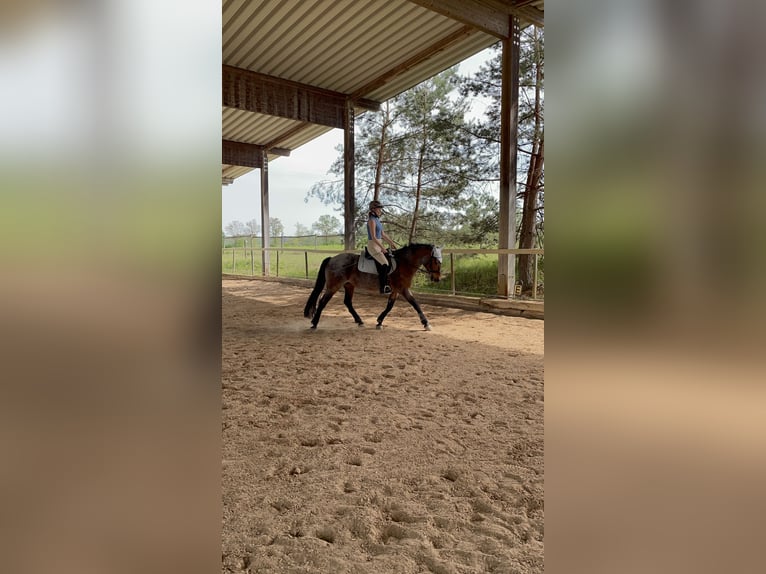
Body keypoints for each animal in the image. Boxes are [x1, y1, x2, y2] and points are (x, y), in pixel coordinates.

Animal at [303, 243, 442, 331]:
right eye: (436, 261)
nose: (437, 279)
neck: (404, 263)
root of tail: (332, 259)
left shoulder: (396, 290)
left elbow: (390, 306)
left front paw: (379, 322)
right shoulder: (403, 289)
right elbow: (415, 304)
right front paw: (426, 324)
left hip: (349, 285)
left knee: (347, 302)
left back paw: (360, 321)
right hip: (334, 286)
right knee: (322, 302)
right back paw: (314, 324)